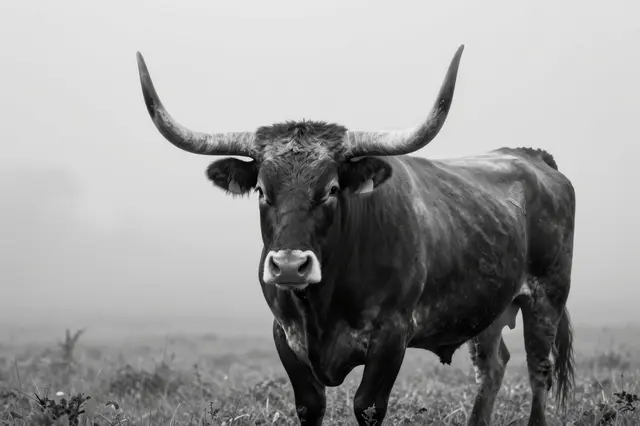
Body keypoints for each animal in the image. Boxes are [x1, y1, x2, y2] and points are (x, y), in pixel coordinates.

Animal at [135, 44, 576, 426]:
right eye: (261, 189)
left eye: (332, 188)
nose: (290, 266)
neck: (321, 303)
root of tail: (531, 157)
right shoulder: (285, 336)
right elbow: (309, 406)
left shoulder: (391, 337)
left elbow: (367, 406)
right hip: (488, 309)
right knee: (492, 367)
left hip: (546, 299)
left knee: (539, 369)